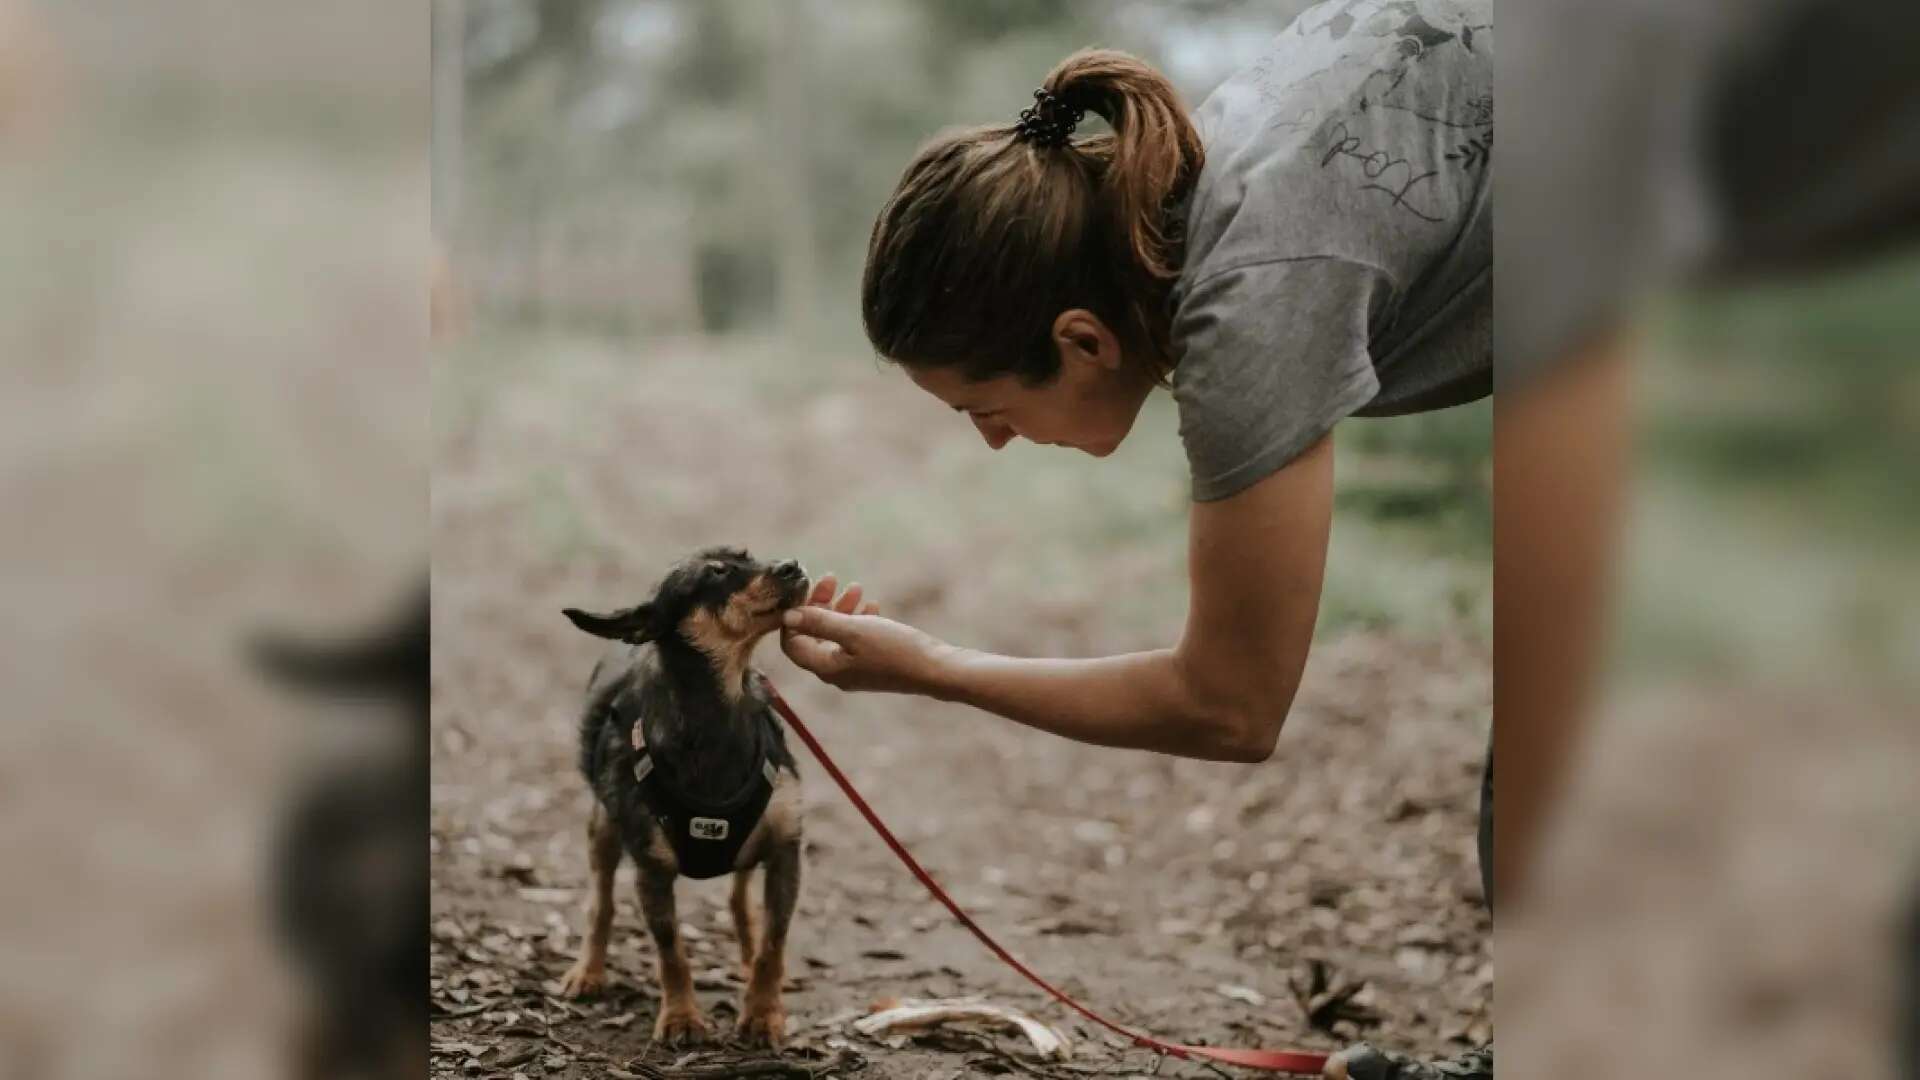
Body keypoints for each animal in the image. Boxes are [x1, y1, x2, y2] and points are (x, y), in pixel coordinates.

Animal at [556, 545, 810, 1045]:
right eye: (717, 572)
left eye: (752, 556)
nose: (793, 565)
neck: (719, 713)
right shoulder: (652, 869)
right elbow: (671, 950)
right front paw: (682, 1017)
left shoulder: (785, 851)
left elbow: (773, 942)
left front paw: (762, 1014)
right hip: (603, 829)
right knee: (601, 902)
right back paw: (588, 971)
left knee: (739, 898)